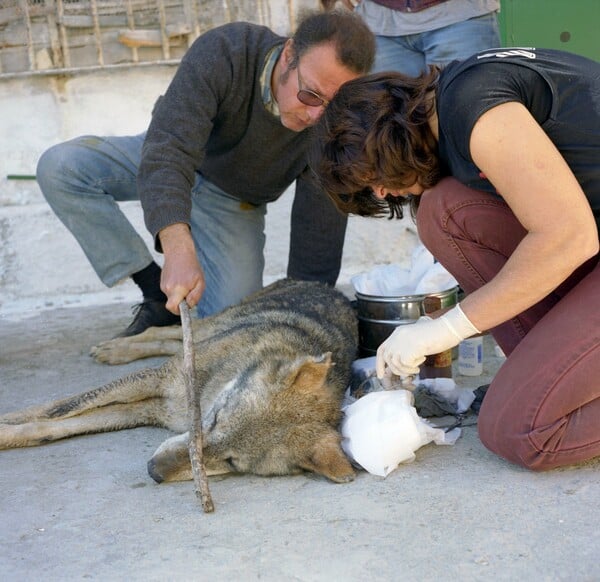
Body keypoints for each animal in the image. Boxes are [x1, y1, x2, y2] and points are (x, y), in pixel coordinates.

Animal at [0, 280, 356, 486]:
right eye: (216, 420)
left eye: (231, 462)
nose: (153, 471)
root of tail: (330, 288)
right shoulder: (156, 380)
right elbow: (57, 409)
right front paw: (7, 425)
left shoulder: (148, 409)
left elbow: (54, 426)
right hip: (208, 325)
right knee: (167, 331)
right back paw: (115, 348)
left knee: (169, 338)